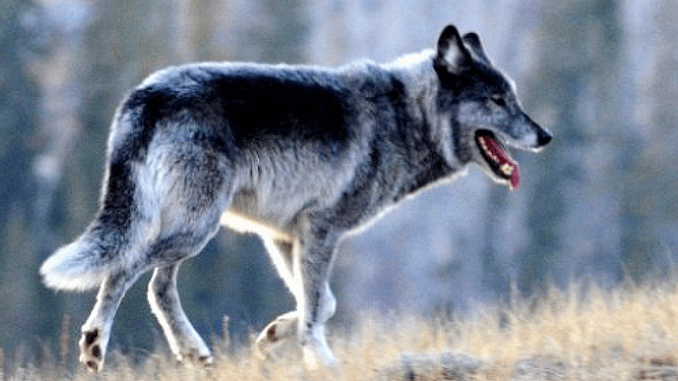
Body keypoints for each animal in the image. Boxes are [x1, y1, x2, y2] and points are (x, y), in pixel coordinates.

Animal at [38, 24, 552, 372]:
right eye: (497, 100)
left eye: (514, 97)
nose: (545, 135)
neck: (402, 118)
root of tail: (144, 94)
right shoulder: (322, 230)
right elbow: (317, 311)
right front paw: (323, 363)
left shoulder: (286, 236)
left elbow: (322, 304)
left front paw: (272, 337)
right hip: (193, 230)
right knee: (126, 271)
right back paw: (94, 345)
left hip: (191, 230)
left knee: (158, 288)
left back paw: (194, 352)